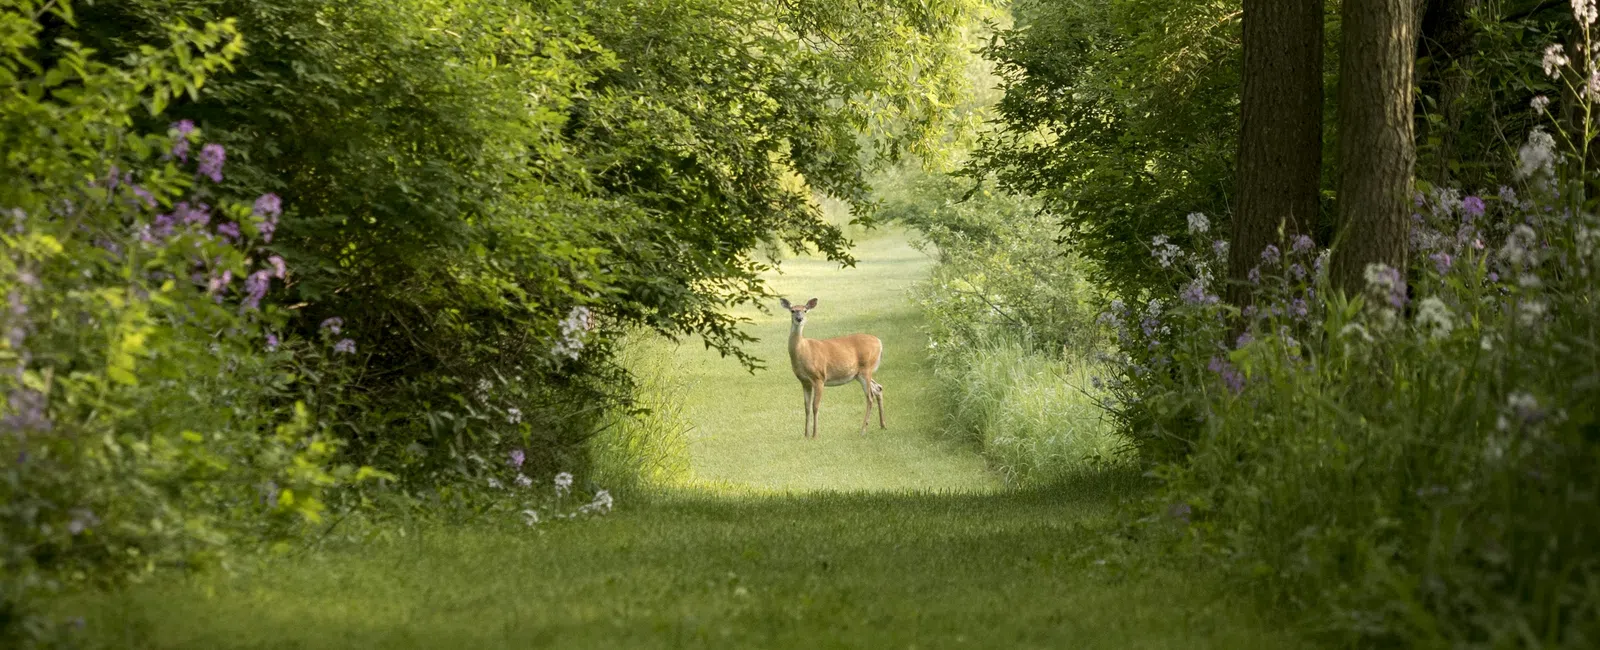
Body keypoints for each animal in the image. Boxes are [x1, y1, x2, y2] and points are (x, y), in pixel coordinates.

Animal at [780, 297, 886, 439]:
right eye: (792, 310)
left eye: (805, 310)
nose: (799, 318)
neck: (803, 350)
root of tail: (879, 342)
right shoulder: (804, 381)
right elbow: (806, 407)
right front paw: (806, 435)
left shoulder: (819, 377)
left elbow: (815, 406)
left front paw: (815, 435)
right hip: (859, 374)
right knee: (878, 388)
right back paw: (883, 425)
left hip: (866, 369)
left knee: (869, 397)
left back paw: (863, 430)